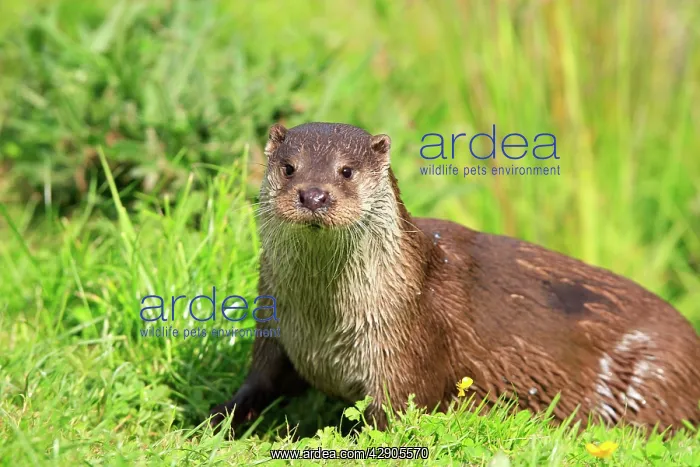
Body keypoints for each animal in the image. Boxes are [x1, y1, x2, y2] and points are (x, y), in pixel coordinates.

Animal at [210, 122, 700, 434]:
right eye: (289, 167)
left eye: (346, 170)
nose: (313, 195)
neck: (322, 322)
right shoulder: (273, 325)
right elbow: (260, 381)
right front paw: (218, 418)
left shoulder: (405, 345)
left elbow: (394, 417)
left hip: (657, 372)